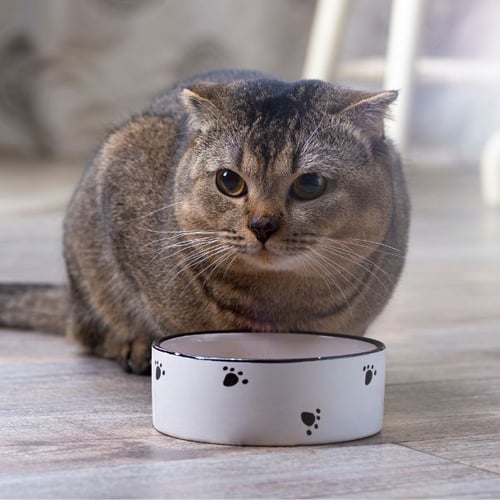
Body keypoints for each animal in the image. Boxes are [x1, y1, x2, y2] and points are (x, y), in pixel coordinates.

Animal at [0, 71, 410, 376]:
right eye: (229, 181)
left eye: (310, 185)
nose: (262, 225)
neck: (275, 305)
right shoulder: (122, 164)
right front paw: (139, 341)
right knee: (88, 331)